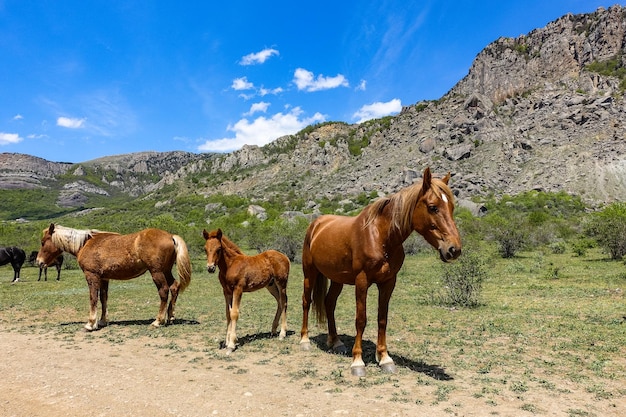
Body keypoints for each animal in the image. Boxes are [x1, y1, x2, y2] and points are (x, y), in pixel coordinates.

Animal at [300, 167, 460, 376]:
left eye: (452, 207)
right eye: (433, 207)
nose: (454, 249)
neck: (380, 237)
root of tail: (316, 224)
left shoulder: (388, 282)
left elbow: (382, 319)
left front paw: (384, 358)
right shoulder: (362, 282)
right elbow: (361, 319)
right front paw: (357, 362)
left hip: (337, 279)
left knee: (329, 303)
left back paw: (335, 342)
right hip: (309, 273)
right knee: (306, 301)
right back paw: (304, 340)